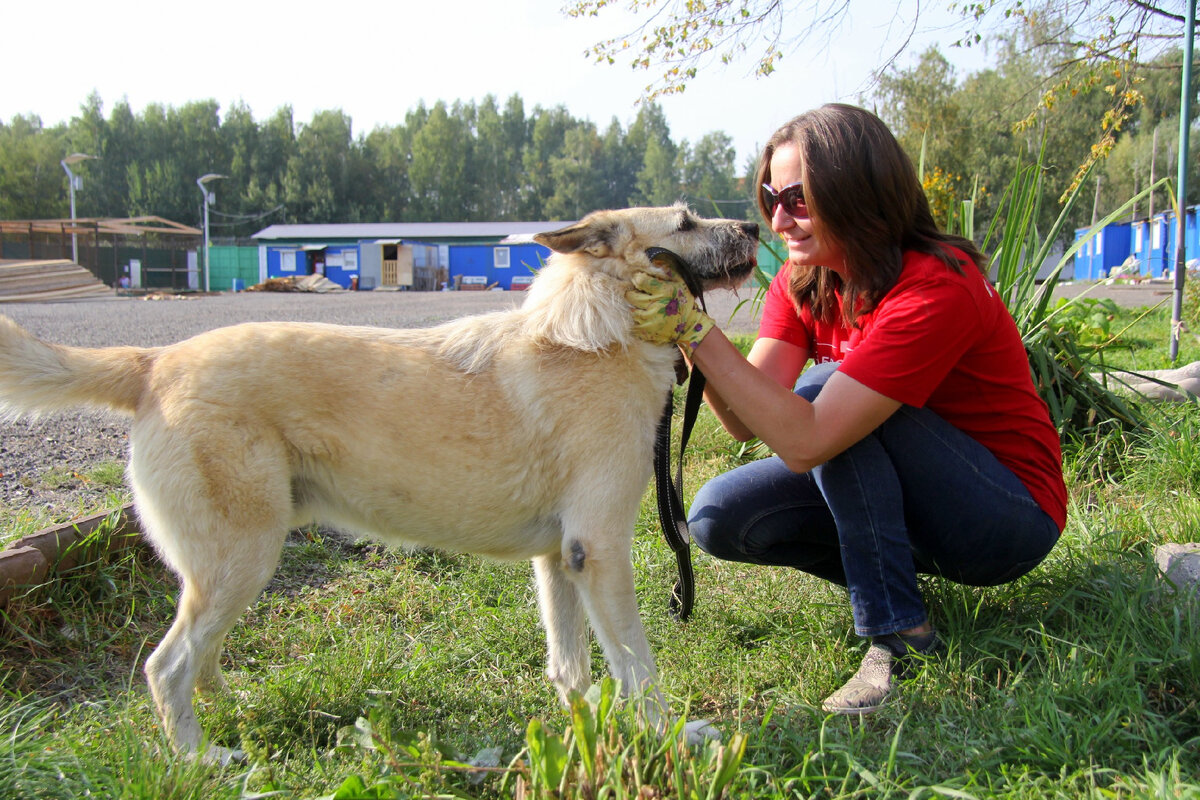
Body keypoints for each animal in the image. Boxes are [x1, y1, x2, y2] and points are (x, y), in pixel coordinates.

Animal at [0, 203, 753, 762]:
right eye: (686, 220)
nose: (751, 224)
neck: (600, 331)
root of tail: (156, 361)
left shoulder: (560, 559)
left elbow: (573, 667)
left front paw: (589, 727)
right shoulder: (597, 551)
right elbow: (638, 668)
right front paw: (669, 736)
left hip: (231, 568)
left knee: (198, 660)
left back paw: (235, 712)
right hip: (240, 560)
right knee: (166, 667)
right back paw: (198, 759)